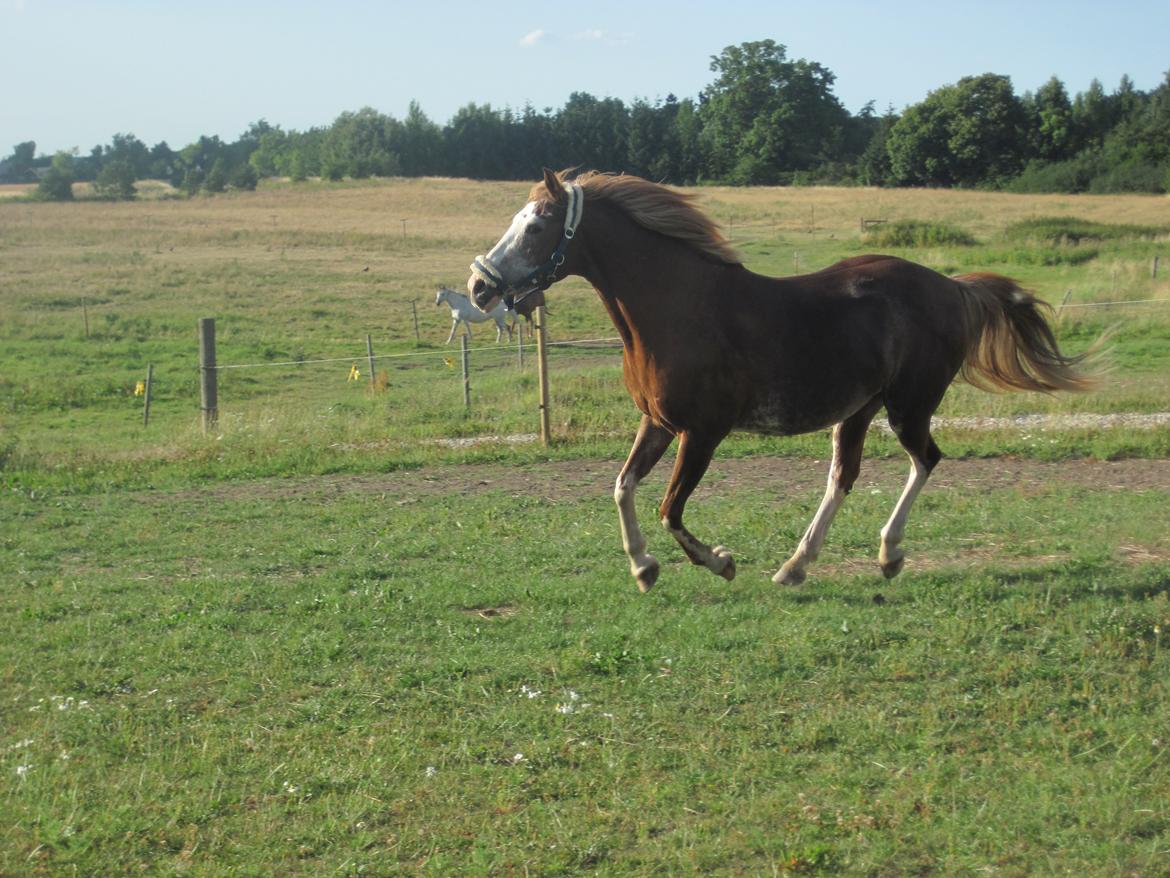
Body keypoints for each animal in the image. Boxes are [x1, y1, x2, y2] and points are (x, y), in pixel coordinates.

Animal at [465, 169, 1095, 599]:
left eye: (536, 226)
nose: (479, 287)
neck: (677, 309)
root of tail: (952, 286)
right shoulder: (658, 422)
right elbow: (622, 488)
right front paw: (643, 569)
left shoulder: (704, 433)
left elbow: (671, 509)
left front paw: (720, 562)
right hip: (858, 410)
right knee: (843, 477)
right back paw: (796, 566)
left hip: (908, 406)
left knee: (926, 460)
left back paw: (888, 555)